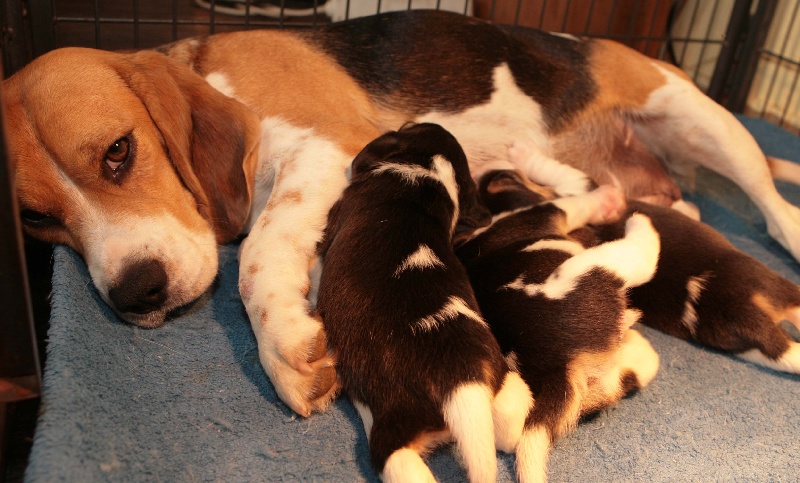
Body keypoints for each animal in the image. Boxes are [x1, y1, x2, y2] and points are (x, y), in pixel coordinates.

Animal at [6, 9, 800, 416]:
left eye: (119, 151)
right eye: (37, 219)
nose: (134, 293)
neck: (204, 70)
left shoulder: (329, 146)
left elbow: (259, 251)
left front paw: (286, 347)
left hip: (705, 122)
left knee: (774, 211)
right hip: (668, 187)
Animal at [316, 124, 528, 483]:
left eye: (406, 127)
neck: (427, 172)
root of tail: (462, 383)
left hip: (392, 439)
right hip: (512, 392)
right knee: (509, 433)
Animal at [456, 167, 664, 483]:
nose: (496, 170)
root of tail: (555, 368)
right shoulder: (554, 208)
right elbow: (577, 197)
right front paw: (605, 199)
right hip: (602, 266)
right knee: (642, 252)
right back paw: (638, 219)